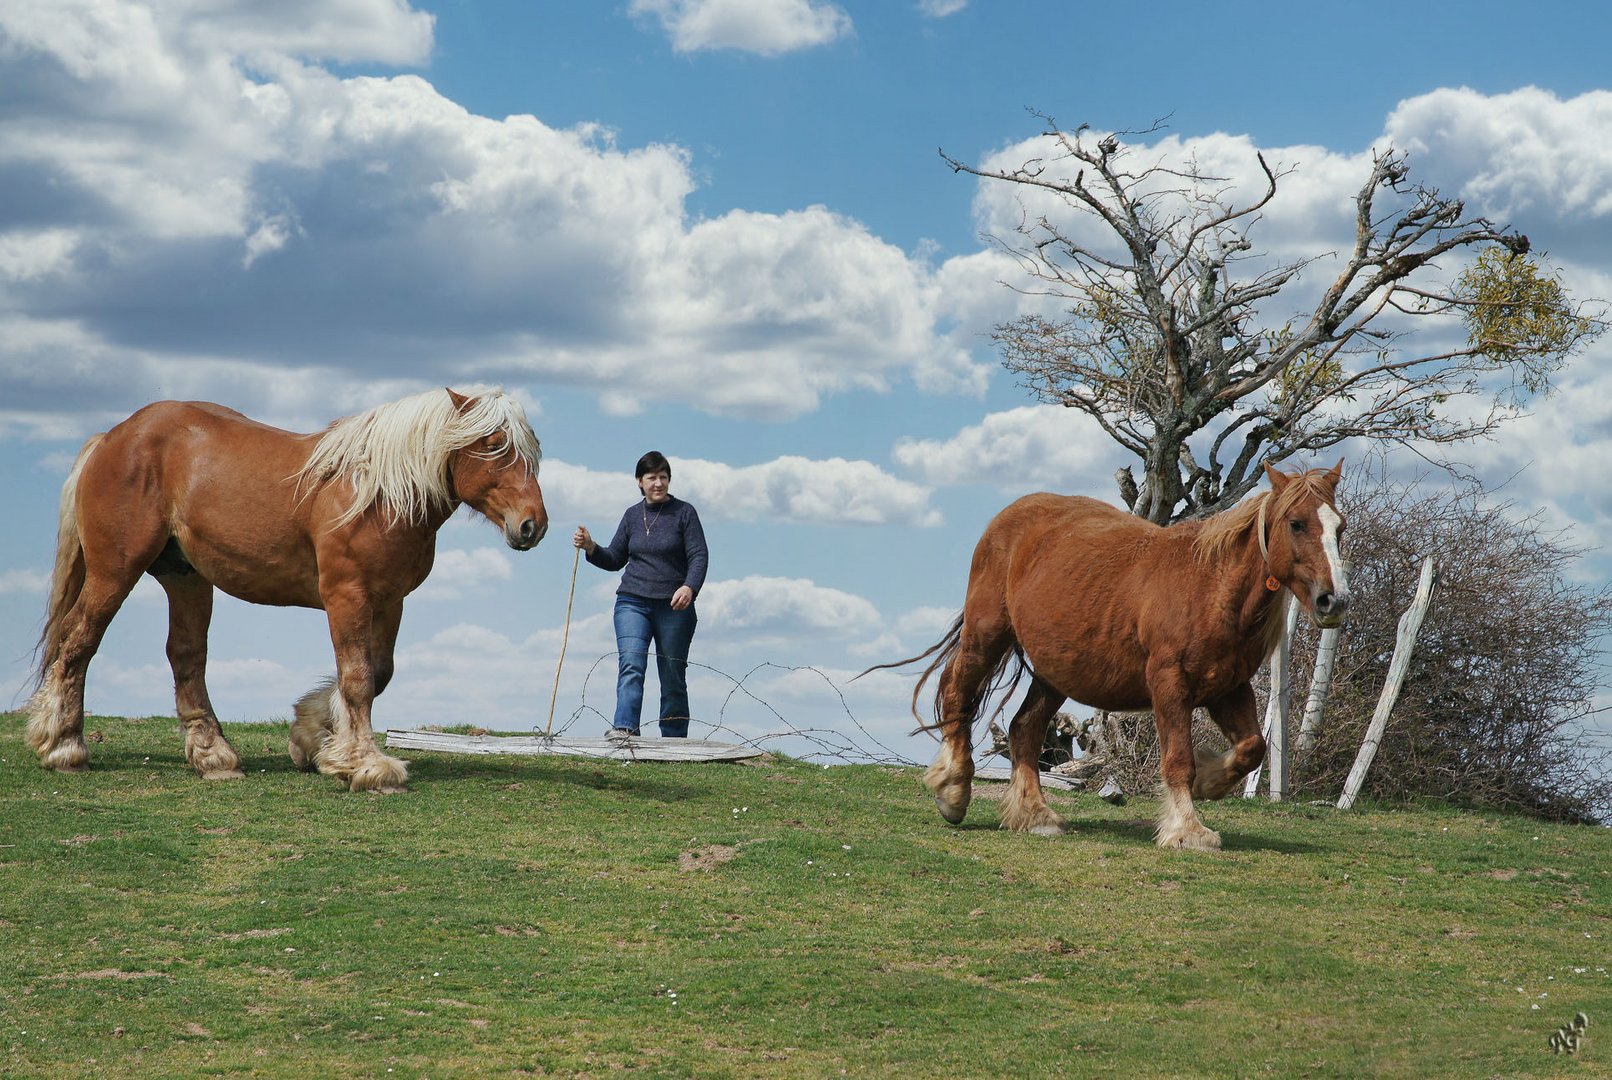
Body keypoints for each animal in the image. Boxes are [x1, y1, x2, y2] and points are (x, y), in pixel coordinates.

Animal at [25, 390, 548, 796]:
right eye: (495, 445)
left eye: (533, 450)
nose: (532, 526)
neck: (376, 494)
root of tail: (111, 438)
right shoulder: (346, 596)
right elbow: (358, 678)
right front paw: (367, 767)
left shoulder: (389, 602)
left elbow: (378, 674)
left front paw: (312, 739)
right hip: (115, 571)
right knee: (78, 641)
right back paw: (65, 747)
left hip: (186, 576)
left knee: (186, 656)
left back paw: (214, 757)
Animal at [870, 464, 1347, 857]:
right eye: (1297, 523)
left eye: (1338, 528)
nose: (1334, 600)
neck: (1209, 587)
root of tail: (1009, 517)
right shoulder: (1169, 684)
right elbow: (1178, 759)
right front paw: (1187, 830)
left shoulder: (1229, 689)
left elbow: (1252, 748)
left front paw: (1210, 783)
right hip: (986, 636)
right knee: (957, 694)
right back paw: (953, 792)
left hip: (1055, 672)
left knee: (1024, 729)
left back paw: (1036, 815)